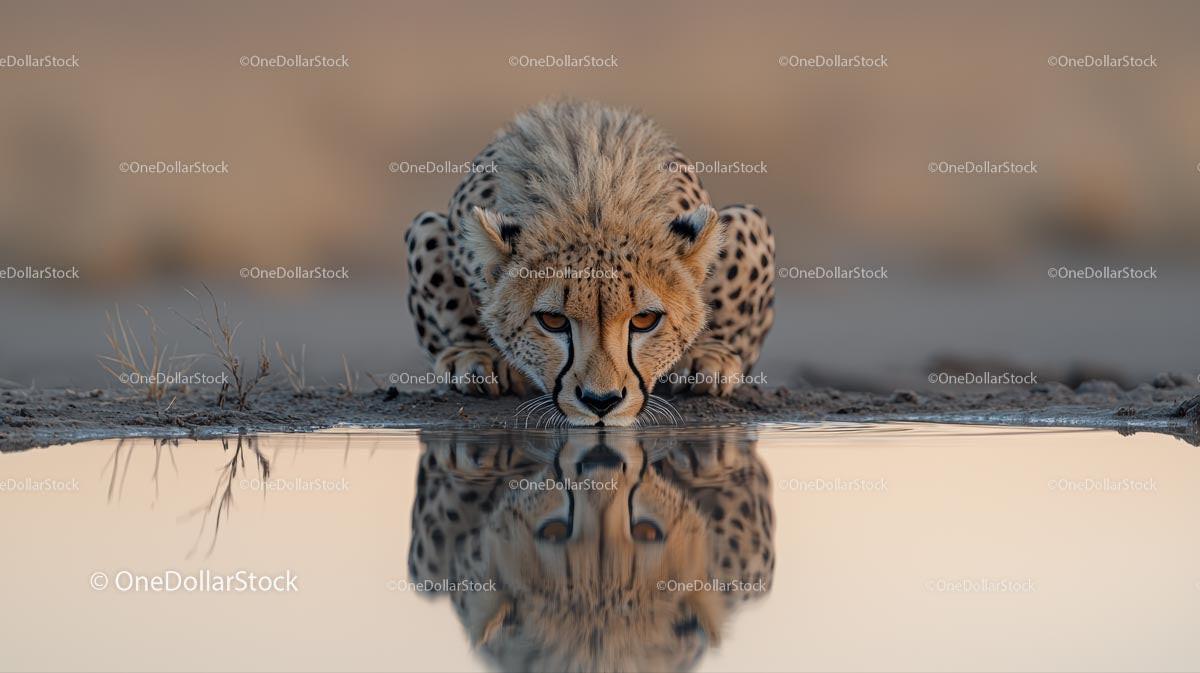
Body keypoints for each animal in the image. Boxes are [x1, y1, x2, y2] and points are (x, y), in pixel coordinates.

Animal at [404, 99, 775, 426]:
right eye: (552, 320)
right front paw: (472, 355)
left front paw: (709, 355)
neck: (592, 200)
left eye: (645, 320)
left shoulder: (748, 224)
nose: (601, 402)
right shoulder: (427, 233)